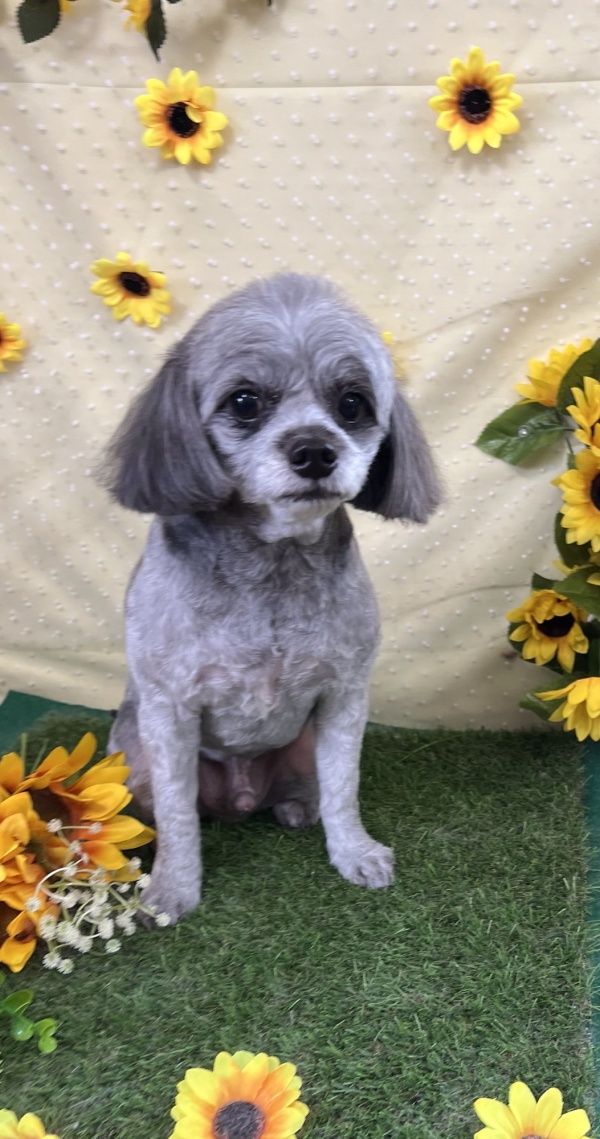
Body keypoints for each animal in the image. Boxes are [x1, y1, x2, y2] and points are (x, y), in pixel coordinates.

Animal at [103, 273, 441, 923]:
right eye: (244, 402)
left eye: (353, 404)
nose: (314, 450)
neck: (273, 563)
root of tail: (239, 797)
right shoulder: (168, 710)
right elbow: (180, 817)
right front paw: (173, 888)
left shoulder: (343, 698)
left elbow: (343, 791)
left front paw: (353, 852)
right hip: (131, 752)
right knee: (169, 809)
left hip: (301, 745)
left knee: (306, 791)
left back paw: (294, 807)